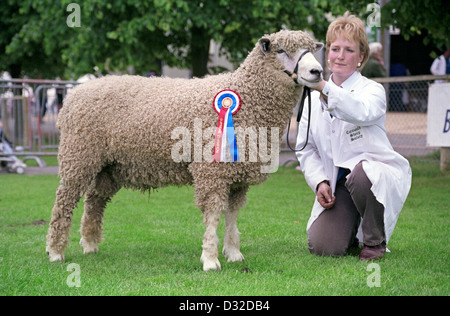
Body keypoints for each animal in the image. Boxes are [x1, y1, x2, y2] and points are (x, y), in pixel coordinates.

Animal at [46, 30, 324, 272]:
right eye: (281, 50)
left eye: (311, 50)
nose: (317, 71)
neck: (247, 96)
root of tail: (71, 96)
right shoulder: (211, 170)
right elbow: (213, 214)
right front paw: (210, 259)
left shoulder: (238, 174)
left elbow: (232, 215)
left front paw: (233, 253)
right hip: (78, 155)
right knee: (64, 202)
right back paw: (56, 252)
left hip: (109, 166)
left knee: (95, 200)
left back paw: (90, 244)